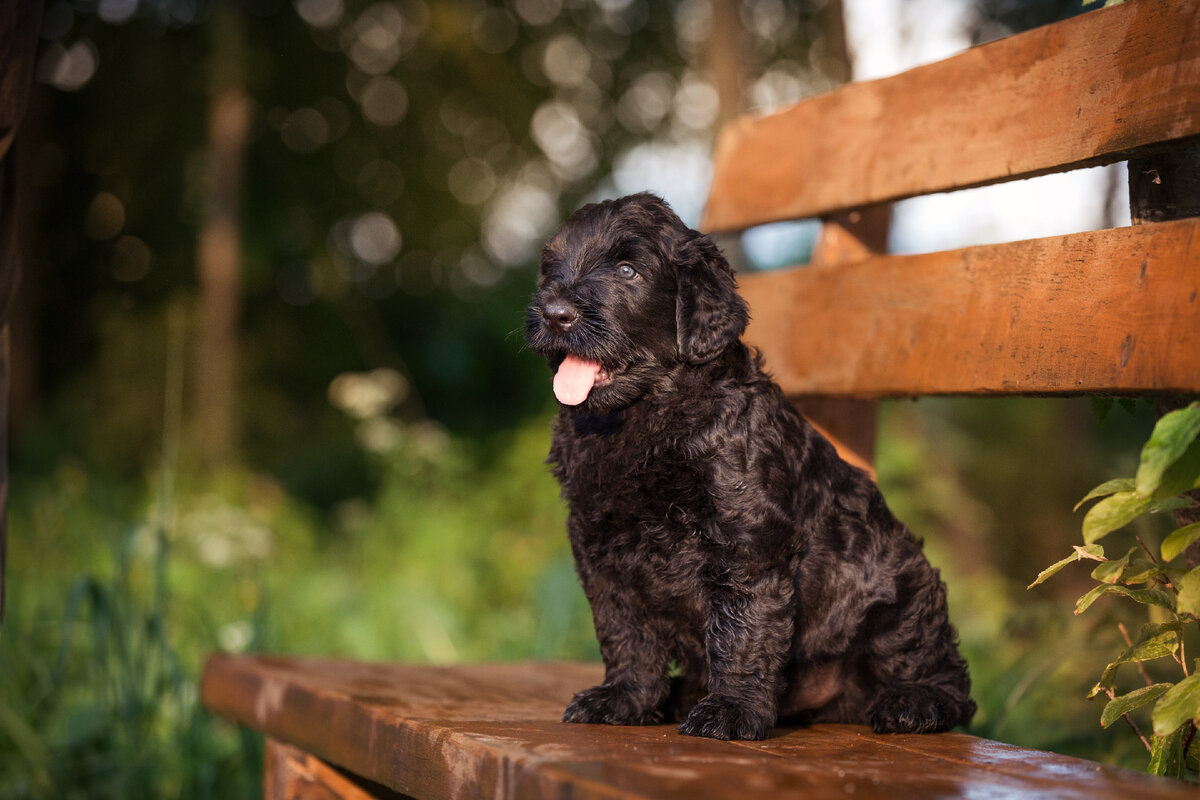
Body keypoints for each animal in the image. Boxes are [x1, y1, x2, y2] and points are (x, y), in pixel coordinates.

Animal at [525, 190, 974, 743]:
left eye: (628, 270)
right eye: (551, 269)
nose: (553, 313)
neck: (644, 415)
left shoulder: (745, 538)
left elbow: (742, 629)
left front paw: (731, 710)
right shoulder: (599, 543)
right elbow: (624, 630)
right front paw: (625, 698)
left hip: (901, 602)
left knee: (947, 678)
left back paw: (915, 703)